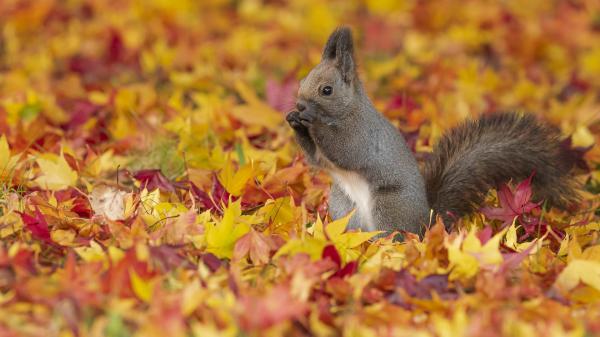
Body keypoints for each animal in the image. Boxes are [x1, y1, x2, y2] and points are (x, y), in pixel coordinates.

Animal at [288, 26, 580, 234]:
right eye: (301, 81)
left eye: (327, 90)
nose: (300, 105)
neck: (346, 111)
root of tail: (428, 223)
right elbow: (316, 158)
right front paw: (294, 120)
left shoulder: (361, 134)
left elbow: (344, 151)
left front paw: (310, 119)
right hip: (342, 207)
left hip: (389, 206)